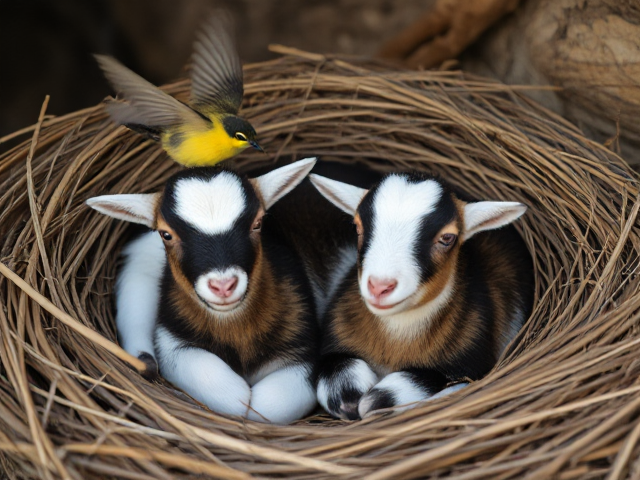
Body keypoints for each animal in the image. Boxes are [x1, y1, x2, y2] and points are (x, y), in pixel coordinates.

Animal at [87, 158, 319, 424]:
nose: (223, 286)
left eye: (258, 223)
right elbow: (232, 395)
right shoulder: (171, 339)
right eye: (166, 234)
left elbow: (267, 405)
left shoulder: (304, 348)